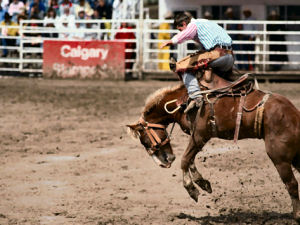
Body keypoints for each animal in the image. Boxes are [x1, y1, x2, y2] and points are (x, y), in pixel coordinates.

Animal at [126, 70, 300, 221]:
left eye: (144, 140)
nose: (165, 161)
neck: (182, 102)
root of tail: (294, 113)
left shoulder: (199, 136)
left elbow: (185, 160)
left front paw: (192, 189)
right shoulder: (197, 138)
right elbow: (190, 160)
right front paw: (203, 183)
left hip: (280, 158)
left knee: (292, 184)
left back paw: (296, 215)